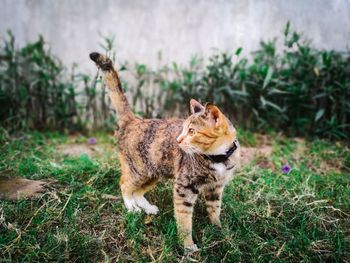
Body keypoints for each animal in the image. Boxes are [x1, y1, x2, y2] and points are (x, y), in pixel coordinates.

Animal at [89, 52, 239, 253]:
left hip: (153, 172)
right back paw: (132, 208)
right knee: (125, 185)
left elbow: (215, 210)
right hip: (139, 170)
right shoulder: (184, 187)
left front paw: (219, 230)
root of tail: (133, 120)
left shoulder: (216, 188)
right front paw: (188, 246)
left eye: (192, 131)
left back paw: (147, 208)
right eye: (183, 129)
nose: (178, 140)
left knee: (138, 191)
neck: (217, 158)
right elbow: (184, 219)